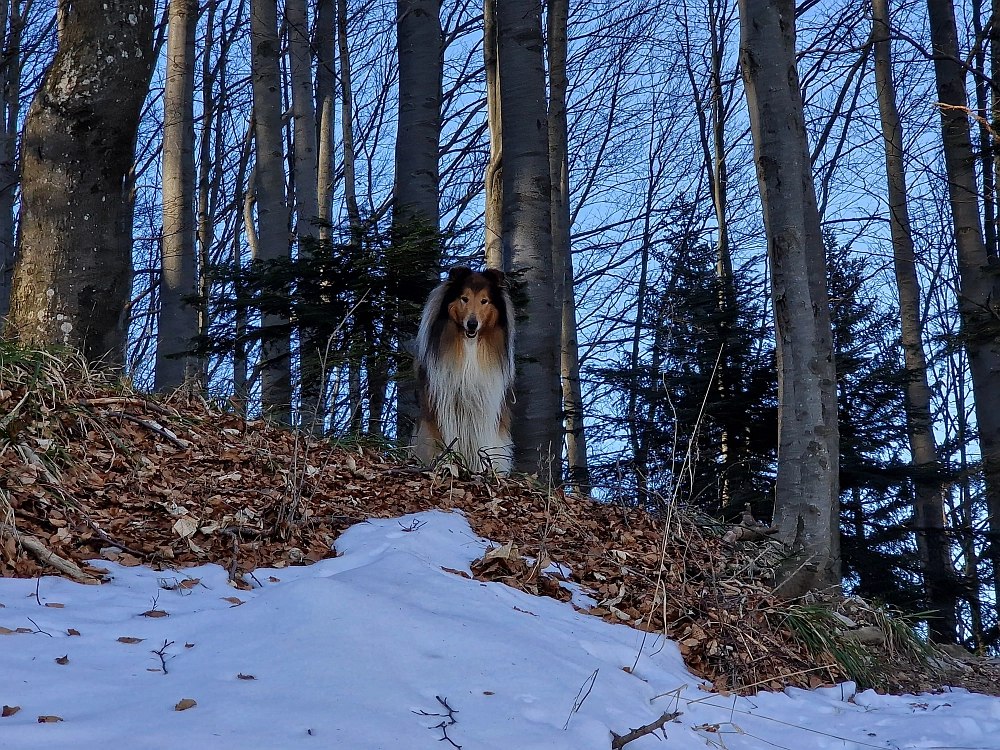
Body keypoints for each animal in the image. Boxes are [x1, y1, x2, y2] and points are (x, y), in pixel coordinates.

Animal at [412, 268, 516, 472]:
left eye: (484, 300)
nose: (472, 324)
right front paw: (446, 462)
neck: (470, 345)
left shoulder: (485, 404)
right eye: (464, 298)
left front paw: (483, 469)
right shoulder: (443, 402)